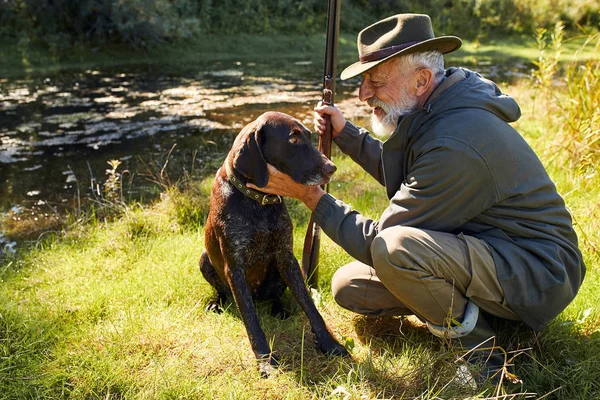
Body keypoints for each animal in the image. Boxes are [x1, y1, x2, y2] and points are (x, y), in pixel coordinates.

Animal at [199, 111, 350, 376]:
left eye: (309, 135)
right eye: (293, 138)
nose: (331, 168)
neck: (257, 201)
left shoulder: (286, 257)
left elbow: (311, 307)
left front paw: (329, 344)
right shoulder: (234, 268)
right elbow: (251, 321)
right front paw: (265, 360)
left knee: (276, 296)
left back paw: (279, 310)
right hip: (204, 259)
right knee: (223, 292)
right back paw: (217, 304)